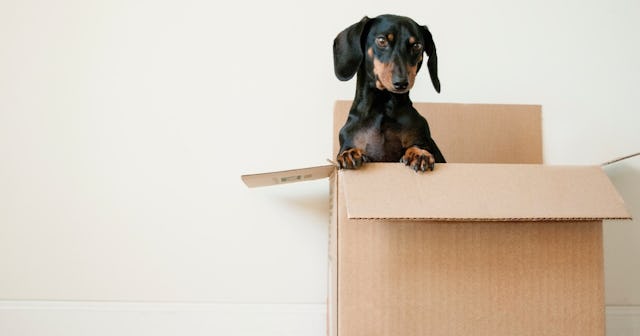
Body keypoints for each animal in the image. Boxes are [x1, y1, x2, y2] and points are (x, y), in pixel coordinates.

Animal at [336, 13, 444, 171]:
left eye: (417, 46)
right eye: (382, 40)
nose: (401, 83)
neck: (383, 107)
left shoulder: (422, 138)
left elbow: (417, 145)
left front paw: (419, 153)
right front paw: (349, 153)